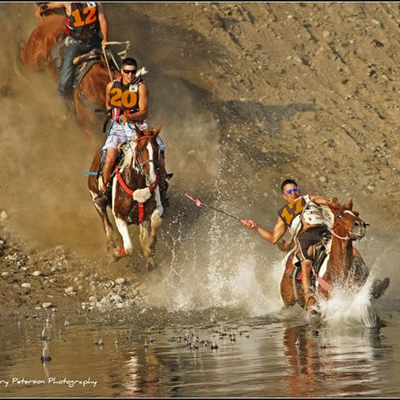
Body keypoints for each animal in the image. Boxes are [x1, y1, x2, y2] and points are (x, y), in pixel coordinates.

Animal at [87, 125, 164, 268]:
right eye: (140, 150)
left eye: (157, 150)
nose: (151, 178)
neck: (137, 185)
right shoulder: (119, 217)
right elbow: (129, 249)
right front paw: (115, 253)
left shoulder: (154, 209)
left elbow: (156, 221)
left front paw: (150, 246)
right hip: (97, 203)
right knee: (108, 227)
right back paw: (112, 249)